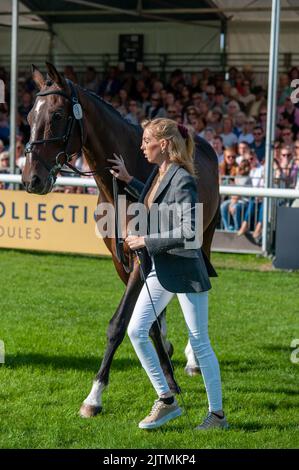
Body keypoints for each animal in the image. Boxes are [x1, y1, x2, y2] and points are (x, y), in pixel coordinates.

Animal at [21, 61, 220, 414]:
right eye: (30, 116)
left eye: (57, 116)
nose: (32, 179)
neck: (122, 190)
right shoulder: (120, 259)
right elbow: (147, 320)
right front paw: (167, 379)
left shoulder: (142, 256)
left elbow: (118, 324)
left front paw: (94, 396)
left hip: (203, 238)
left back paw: (194, 359)